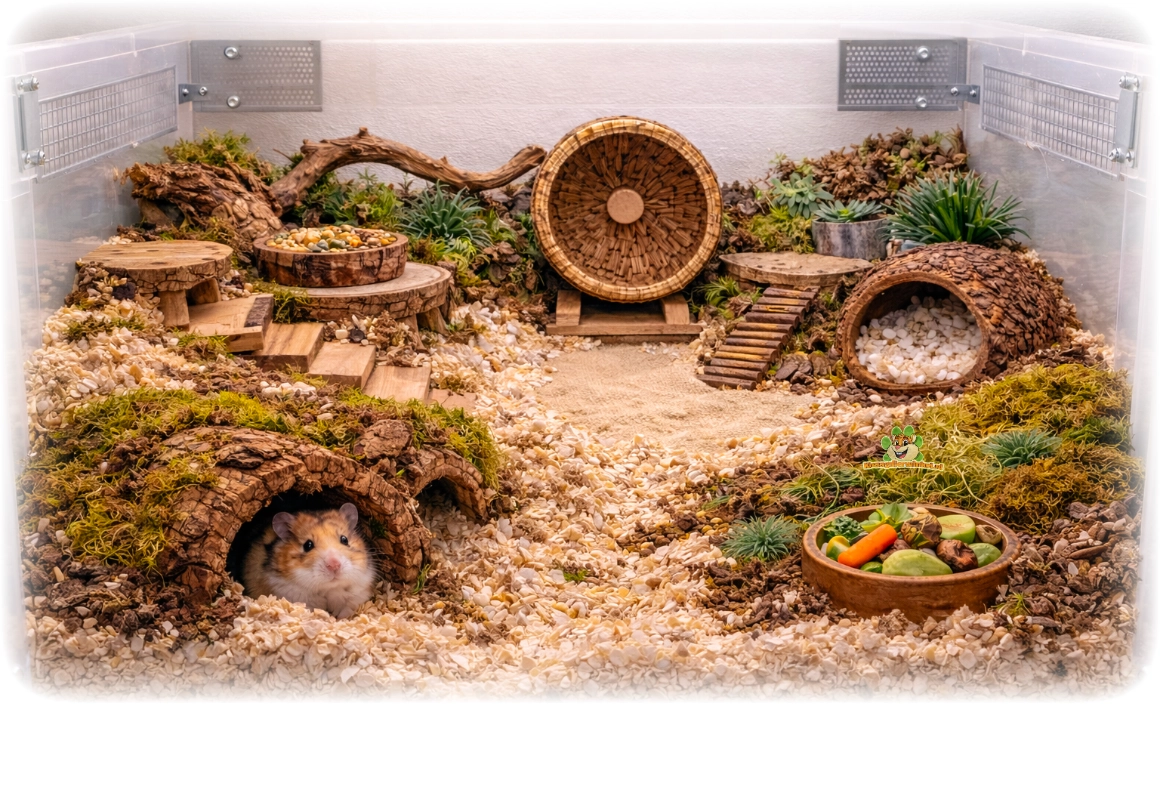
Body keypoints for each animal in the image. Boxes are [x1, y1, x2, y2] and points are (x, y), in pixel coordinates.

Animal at [241, 502, 376, 619]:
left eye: (344, 539)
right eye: (308, 545)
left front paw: (341, 617)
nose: (334, 565)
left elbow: (348, 606)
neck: (328, 588)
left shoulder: (360, 590)